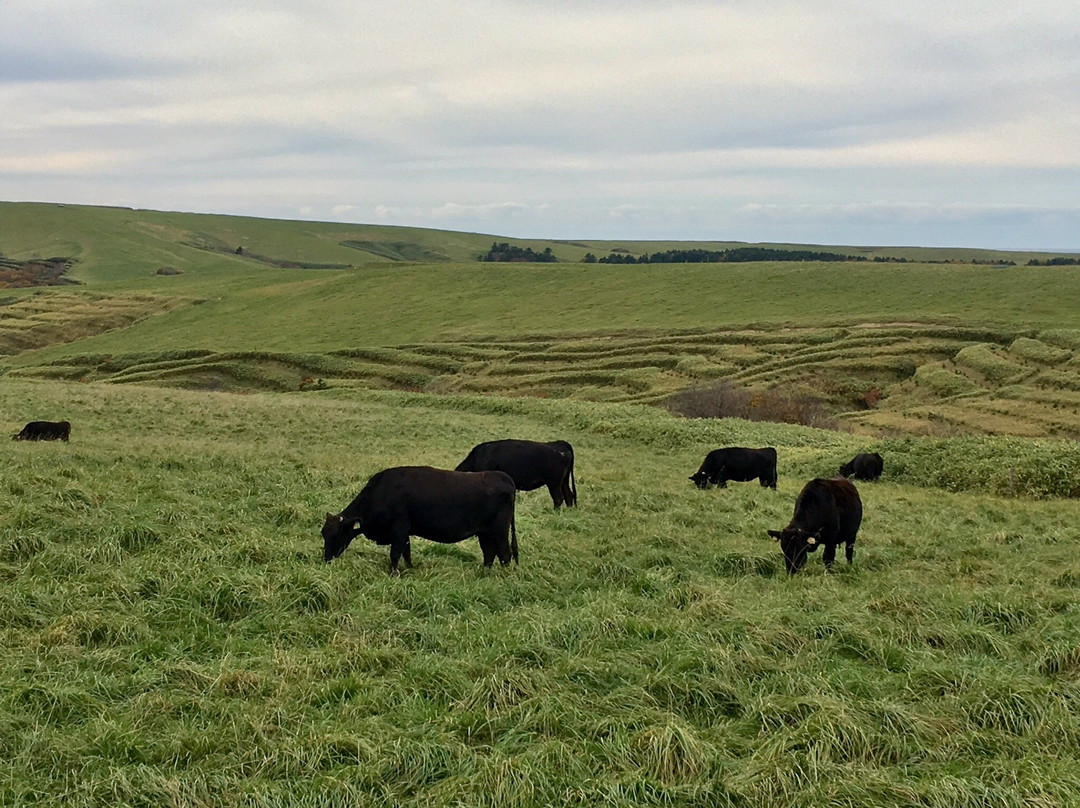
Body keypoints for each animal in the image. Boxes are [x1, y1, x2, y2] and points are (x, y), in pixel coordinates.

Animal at [319, 464, 518, 570]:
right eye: (323, 534)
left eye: (335, 535)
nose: (326, 558)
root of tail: (502, 476)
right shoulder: (405, 532)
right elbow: (406, 553)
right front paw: (410, 569)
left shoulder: (399, 530)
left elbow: (395, 553)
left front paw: (394, 574)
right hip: (485, 533)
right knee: (489, 553)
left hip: (499, 532)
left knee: (504, 554)